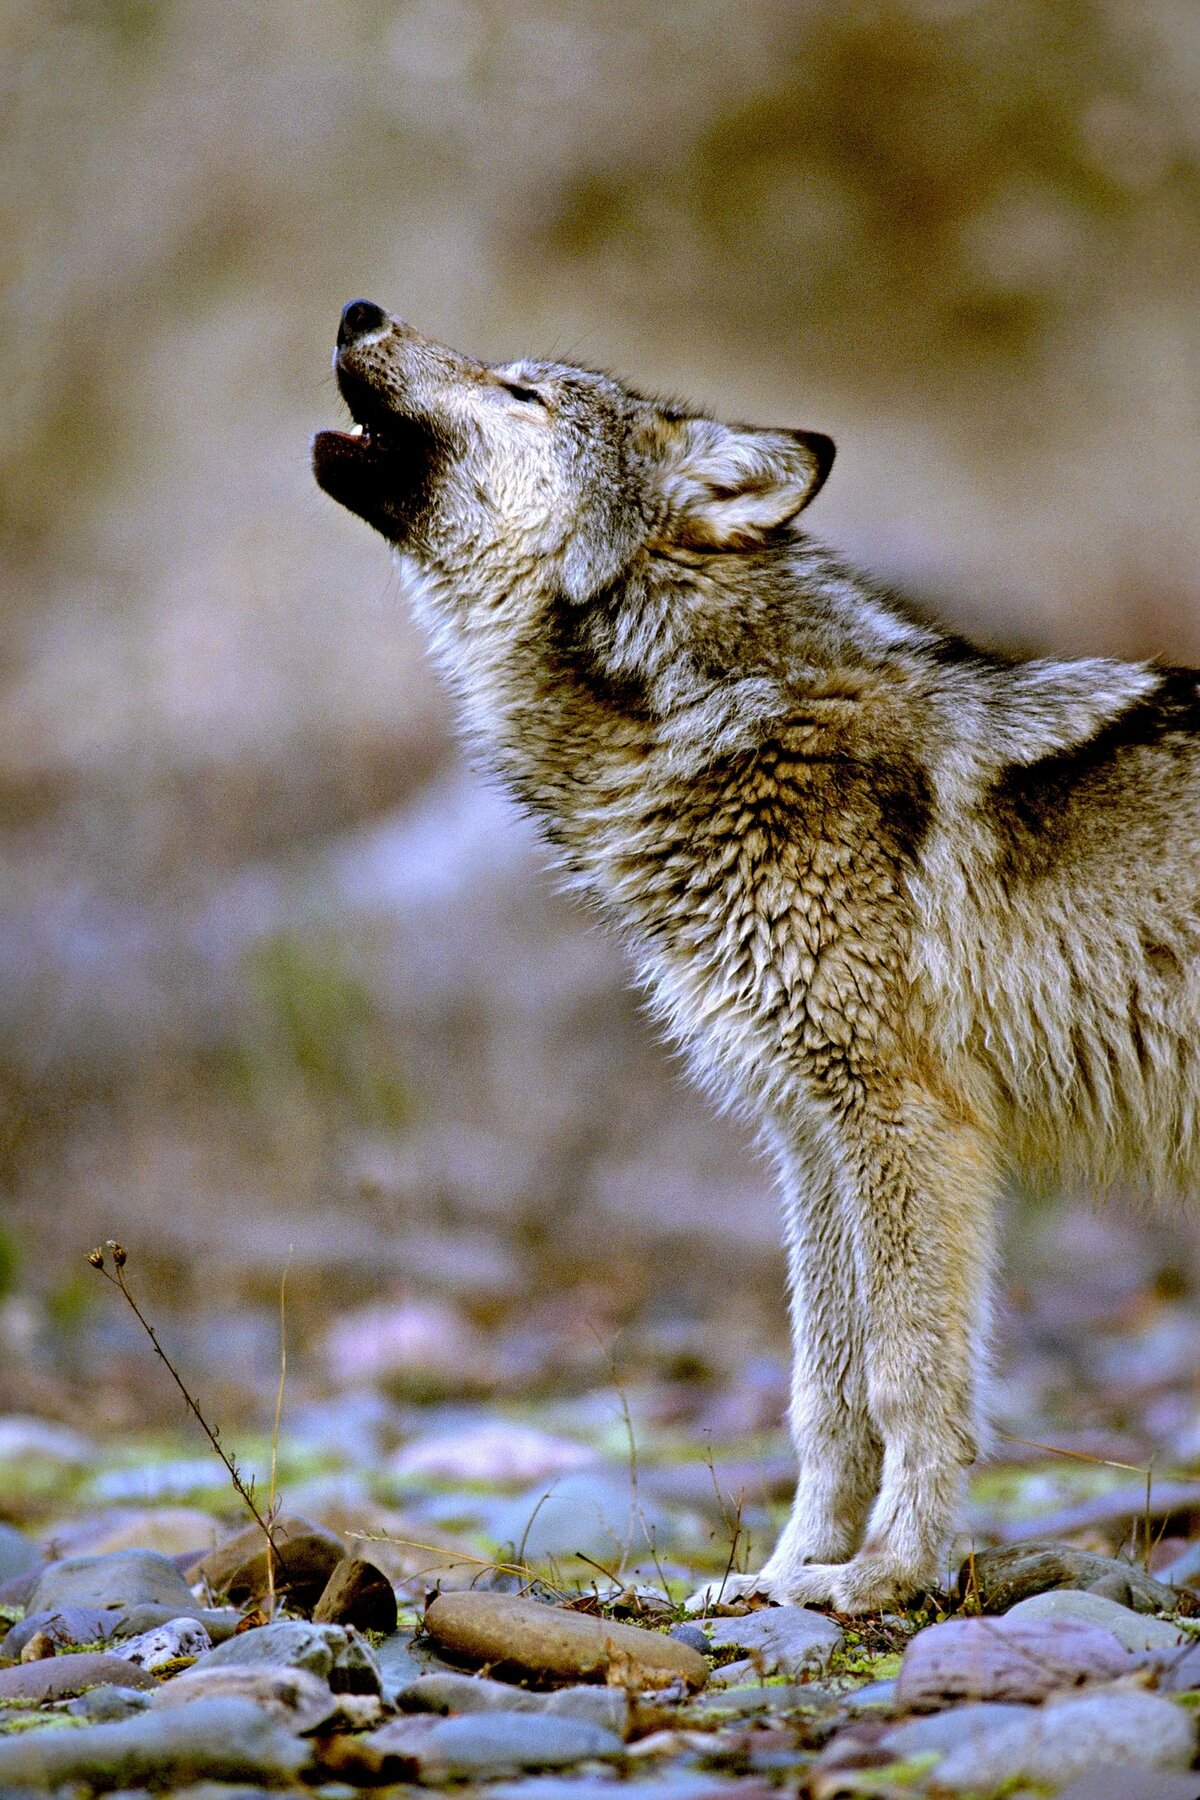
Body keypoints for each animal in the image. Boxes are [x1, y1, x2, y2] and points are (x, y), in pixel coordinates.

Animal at [313, 299, 1200, 1613]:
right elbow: (823, 1392)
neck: (712, 715)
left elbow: (904, 1377)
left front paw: (888, 1575)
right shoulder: (807, 1134)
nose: (358, 311)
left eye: (526, 394)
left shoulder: (905, 1122)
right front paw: (786, 1574)